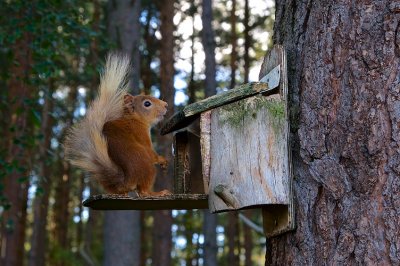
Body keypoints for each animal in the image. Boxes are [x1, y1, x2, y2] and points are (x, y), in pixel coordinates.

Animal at [65, 54, 171, 196]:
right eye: (147, 104)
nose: (166, 105)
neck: (135, 119)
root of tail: (126, 181)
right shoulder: (141, 134)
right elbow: (151, 152)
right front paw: (162, 159)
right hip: (148, 167)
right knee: (143, 192)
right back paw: (159, 193)